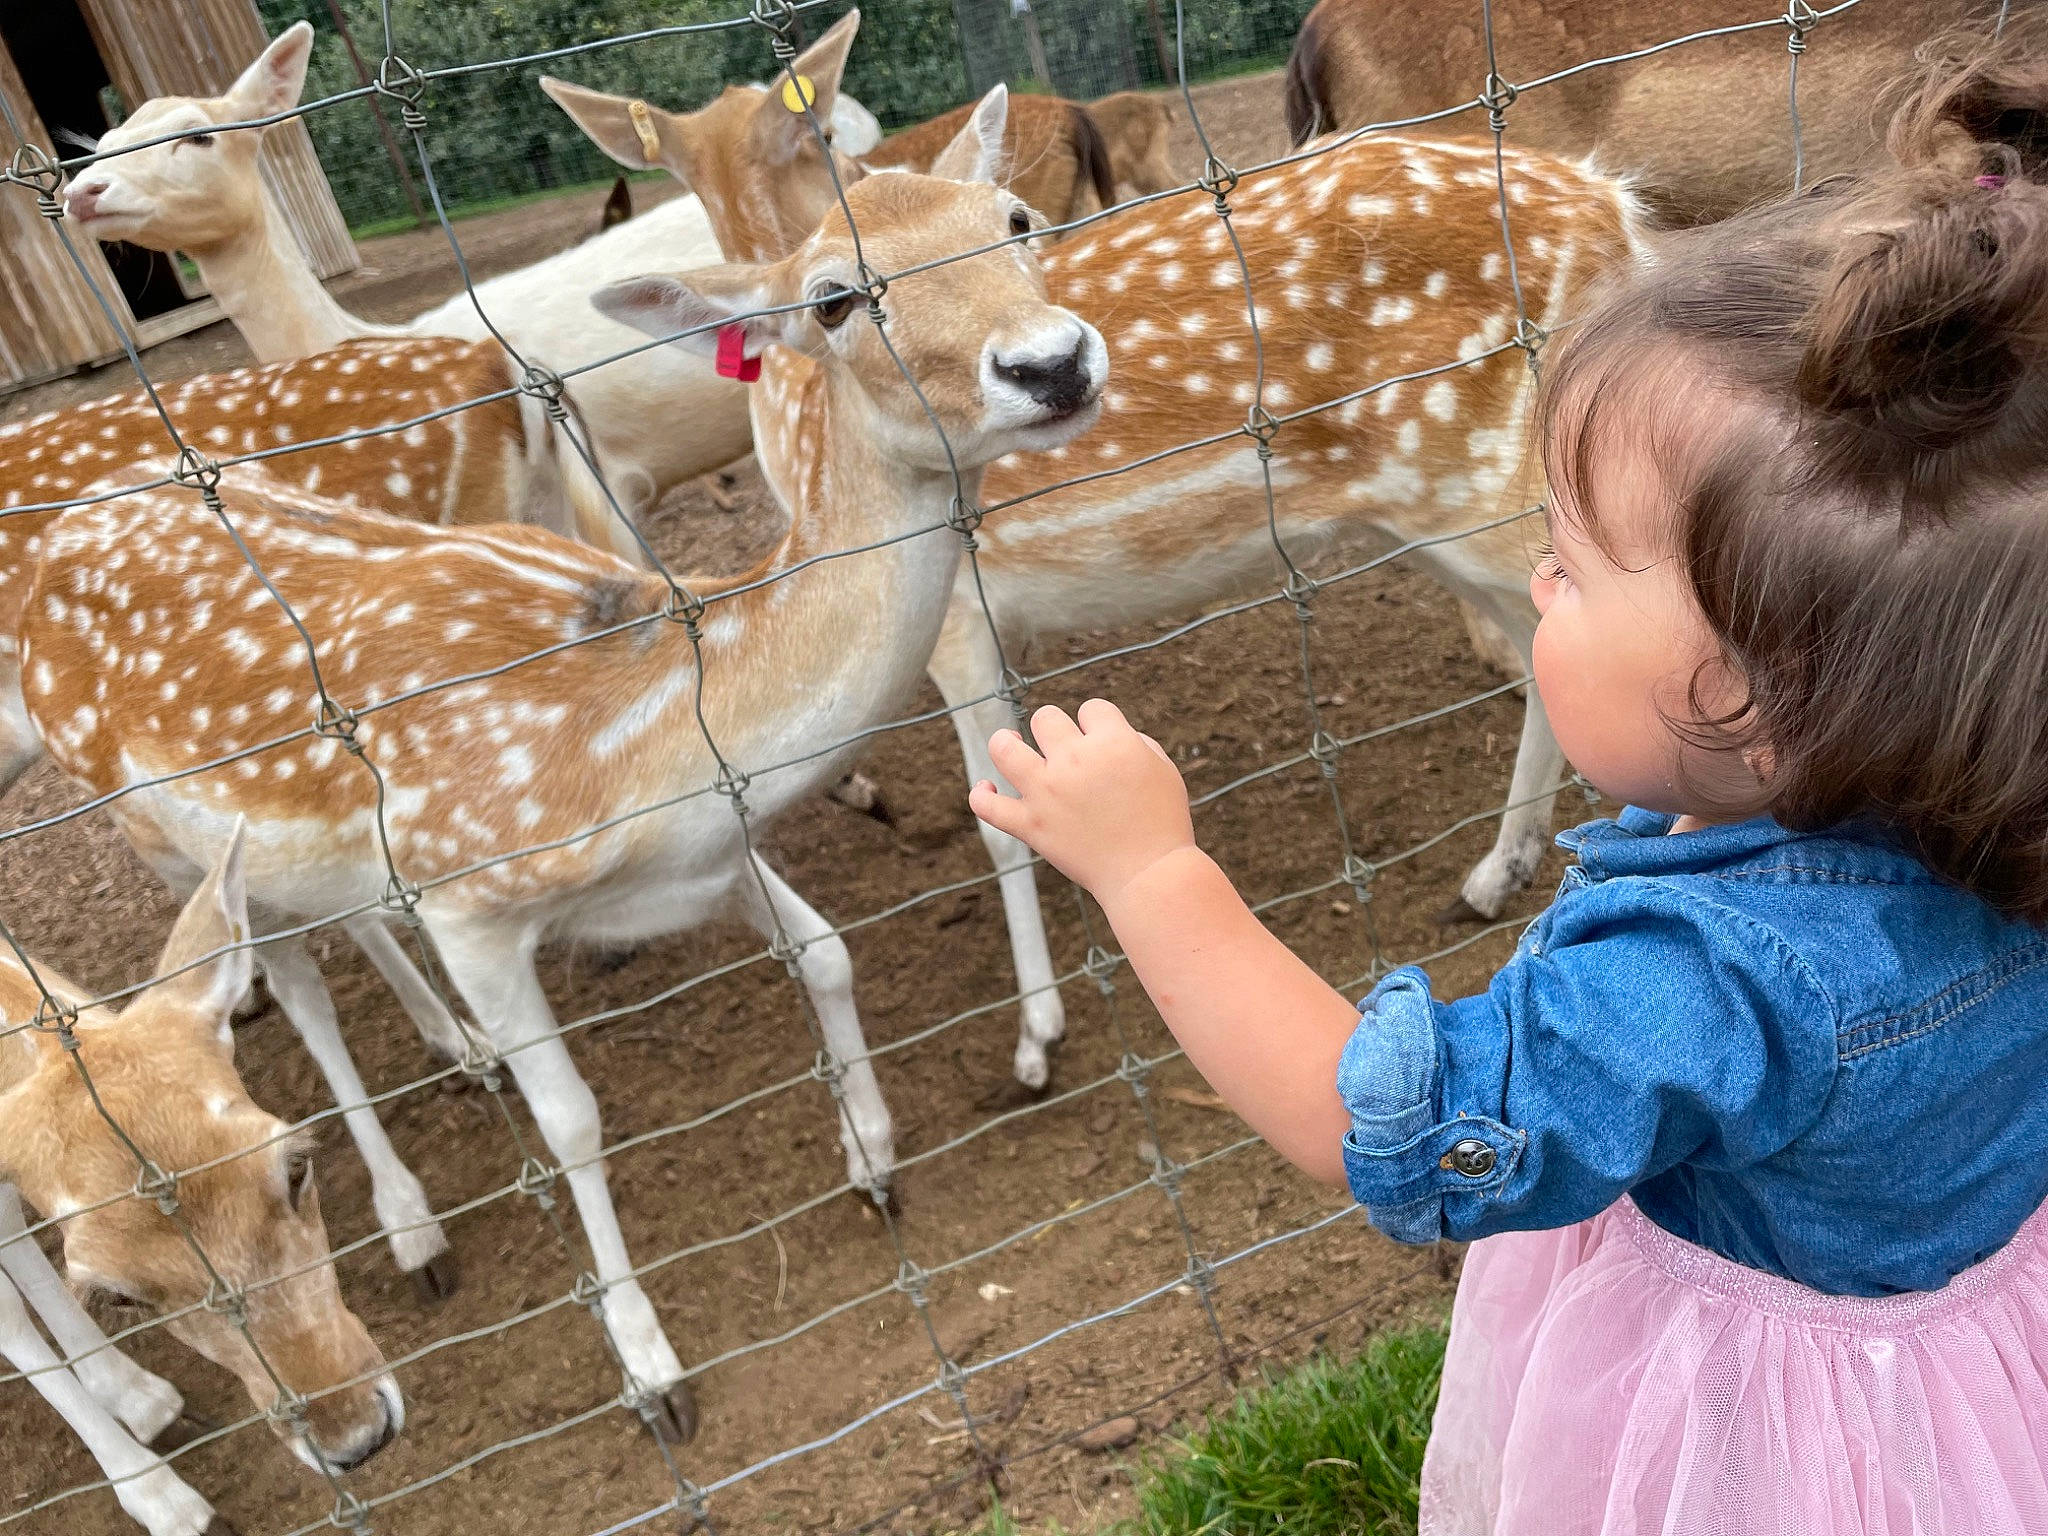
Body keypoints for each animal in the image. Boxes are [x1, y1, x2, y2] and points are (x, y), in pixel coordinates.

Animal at [0, 822, 400, 1536]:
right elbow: (12, 1323)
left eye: (296, 1166)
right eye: (119, 1296)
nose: (357, 1437)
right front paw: (165, 1501)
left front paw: (139, 1400)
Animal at [552, 13, 1653, 1100]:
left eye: (1016, 218)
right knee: (1537, 651)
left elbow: (994, 816)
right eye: (832, 299)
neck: (803, 460)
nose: (1051, 364)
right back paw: (1492, 876)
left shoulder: (954, 612)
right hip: (1432, 511)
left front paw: (1035, 1038)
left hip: (1511, 480)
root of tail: (1617, 212)